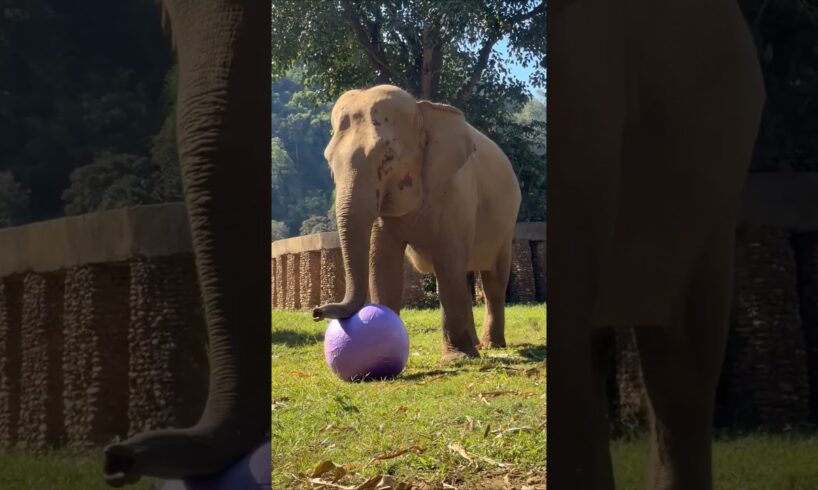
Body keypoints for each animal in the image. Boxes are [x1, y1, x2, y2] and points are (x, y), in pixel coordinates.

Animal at [311, 85, 522, 361]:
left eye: (388, 157)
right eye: (328, 161)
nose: (316, 311)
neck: (423, 109)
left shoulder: (458, 194)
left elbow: (448, 262)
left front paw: (457, 357)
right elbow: (383, 263)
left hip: (507, 222)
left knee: (493, 280)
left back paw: (491, 346)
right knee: (465, 276)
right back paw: (476, 344)